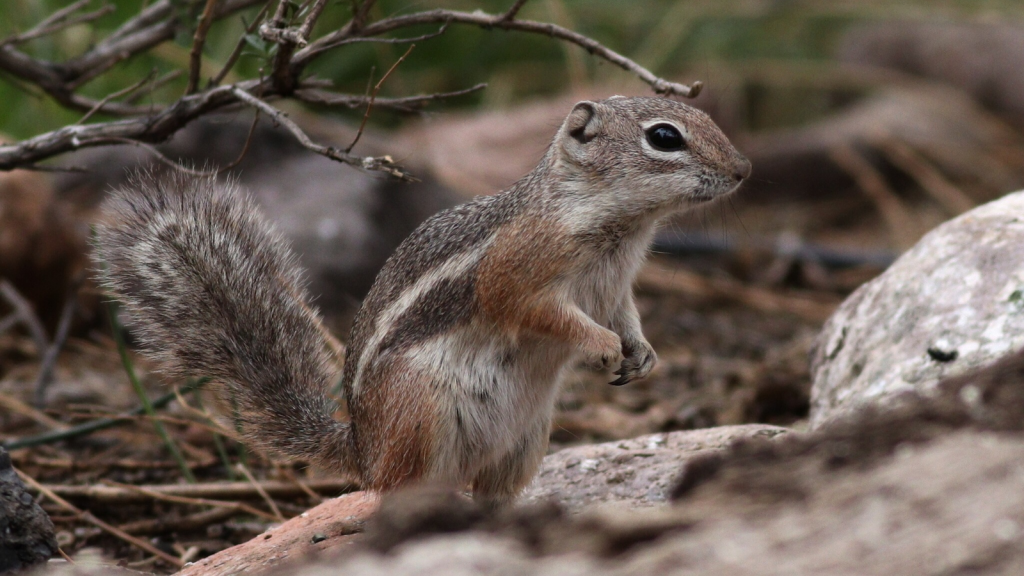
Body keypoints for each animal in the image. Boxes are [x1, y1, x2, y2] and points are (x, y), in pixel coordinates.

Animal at [94, 96, 753, 504]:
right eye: (664, 137)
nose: (744, 170)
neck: (617, 225)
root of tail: (362, 449)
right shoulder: (519, 271)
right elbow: (537, 311)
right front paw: (600, 346)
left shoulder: (616, 287)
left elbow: (629, 317)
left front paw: (642, 354)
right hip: (421, 415)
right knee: (397, 495)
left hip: (526, 440)